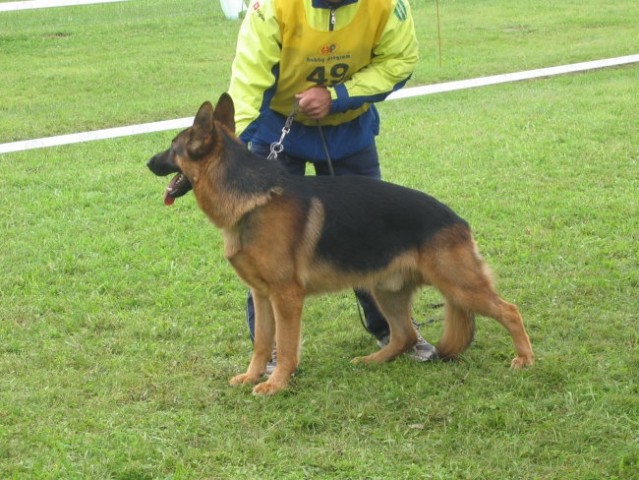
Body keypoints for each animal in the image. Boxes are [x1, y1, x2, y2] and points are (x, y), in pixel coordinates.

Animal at [146, 93, 536, 394]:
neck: (252, 199)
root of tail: (457, 220)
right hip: (386, 290)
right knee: (404, 335)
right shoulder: (262, 295)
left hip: (459, 285)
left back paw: (525, 358)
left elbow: (285, 344)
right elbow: (262, 343)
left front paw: (277, 384)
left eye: (172, 148)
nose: (147, 162)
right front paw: (253, 376)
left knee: (509, 311)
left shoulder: (286, 297)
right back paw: (373, 360)